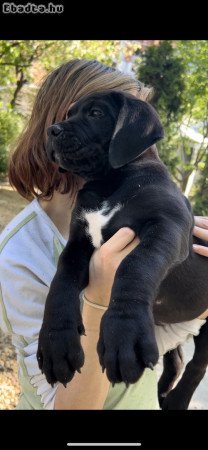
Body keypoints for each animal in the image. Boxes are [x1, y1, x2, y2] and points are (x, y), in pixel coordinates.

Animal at [37, 90, 208, 404]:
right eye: (69, 114)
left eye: (96, 113)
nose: (52, 131)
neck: (110, 181)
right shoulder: (79, 242)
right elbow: (61, 280)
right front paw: (56, 343)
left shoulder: (167, 227)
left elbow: (136, 265)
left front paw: (124, 331)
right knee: (177, 357)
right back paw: (162, 391)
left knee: (197, 366)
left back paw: (176, 400)